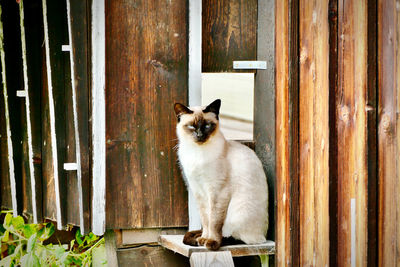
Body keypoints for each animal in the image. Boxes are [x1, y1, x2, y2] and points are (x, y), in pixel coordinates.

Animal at [173, 99, 268, 251]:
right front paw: (203, 239)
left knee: (237, 238)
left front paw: (211, 242)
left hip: (238, 213)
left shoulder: (217, 191)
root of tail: (264, 237)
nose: (200, 135)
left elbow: (214, 222)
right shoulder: (198, 191)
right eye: (192, 127)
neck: (197, 153)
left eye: (207, 126)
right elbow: (206, 220)